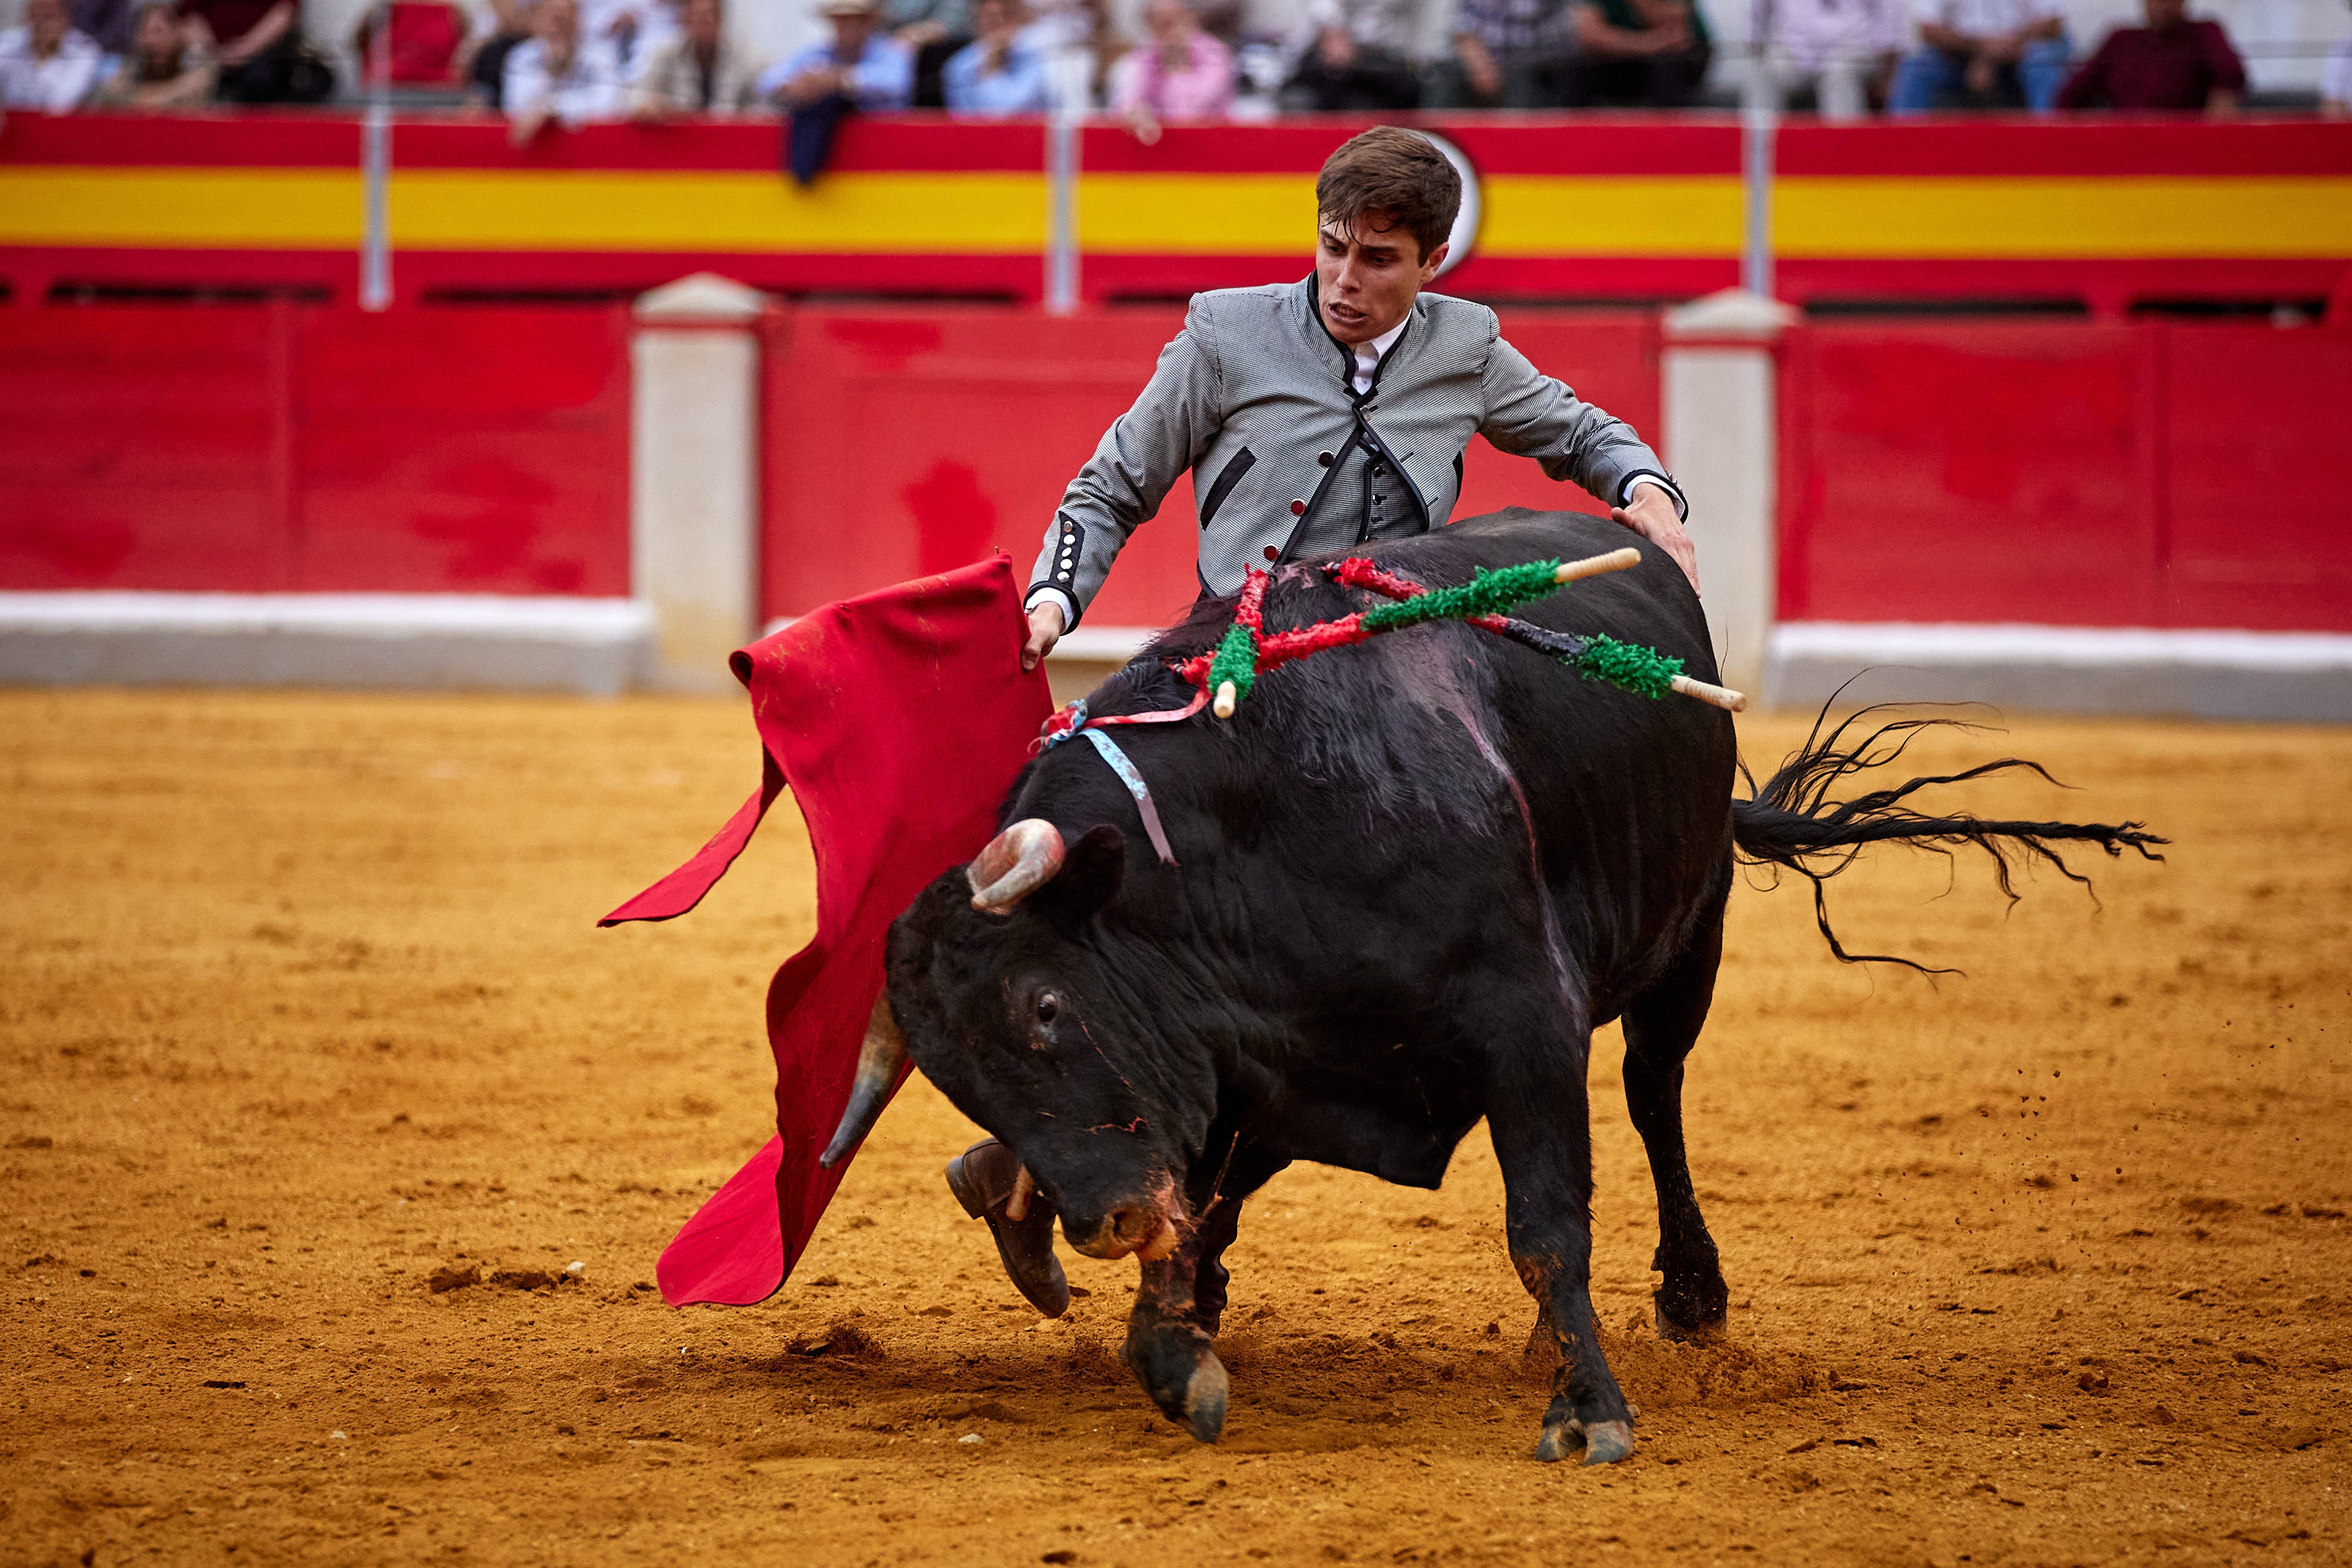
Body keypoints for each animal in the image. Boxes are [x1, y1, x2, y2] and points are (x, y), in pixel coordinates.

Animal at [833, 510, 2164, 1467]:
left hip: (1689, 938)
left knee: (1654, 1096)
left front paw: (1592, 1410)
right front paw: (1173, 1351)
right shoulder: (1245, 1060)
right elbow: (1201, 1201)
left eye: (1047, 1008)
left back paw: (1686, 1295)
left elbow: (1545, 1224)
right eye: (957, 1082)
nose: (1098, 1222)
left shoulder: (1525, 1021)